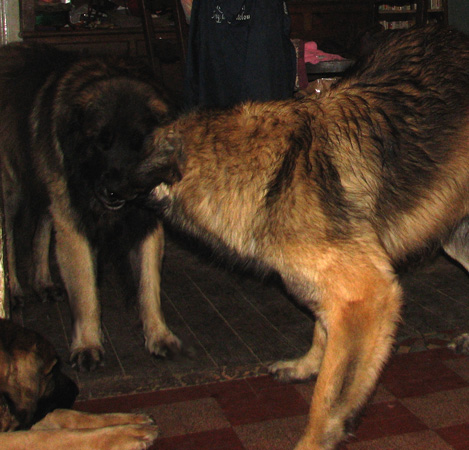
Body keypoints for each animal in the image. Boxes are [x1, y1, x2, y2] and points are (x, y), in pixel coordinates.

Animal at [0, 318, 159, 448]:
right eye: (52, 370)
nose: (76, 390)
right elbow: (55, 435)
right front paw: (127, 433)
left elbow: (70, 414)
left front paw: (130, 420)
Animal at [131, 26, 468, 448]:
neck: (269, 174)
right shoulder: (333, 291)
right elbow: (322, 335)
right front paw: (307, 364)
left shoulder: (369, 294)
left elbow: (328, 396)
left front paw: (317, 436)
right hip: (457, 234)